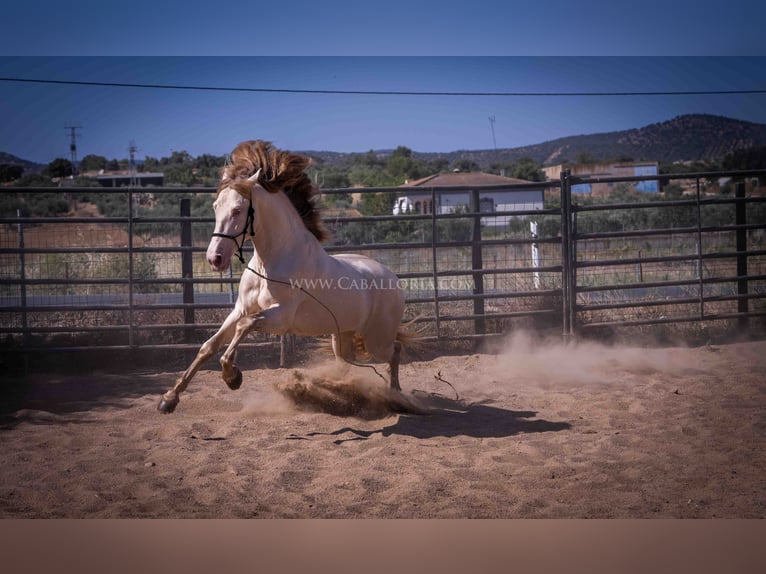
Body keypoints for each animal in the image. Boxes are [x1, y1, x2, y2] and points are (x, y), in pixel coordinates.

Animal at [158, 142, 412, 416]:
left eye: (237, 210)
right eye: (216, 207)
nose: (215, 258)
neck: (270, 262)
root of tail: (393, 279)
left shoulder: (281, 318)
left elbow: (244, 327)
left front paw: (232, 376)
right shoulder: (240, 309)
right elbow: (208, 346)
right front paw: (169, 398)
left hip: (377, 339)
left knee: (395, 351)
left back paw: (396, 396)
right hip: (342, 337)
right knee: (350, 362)